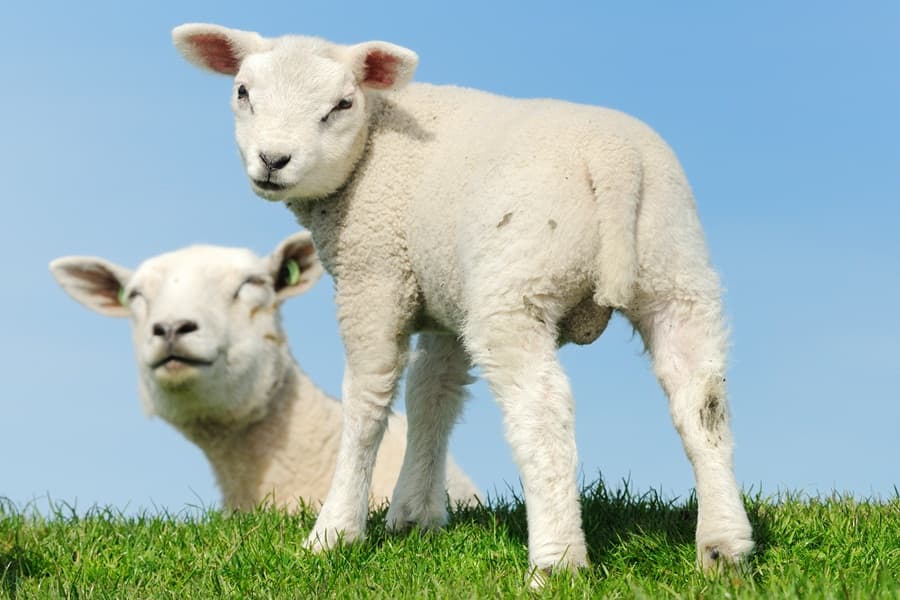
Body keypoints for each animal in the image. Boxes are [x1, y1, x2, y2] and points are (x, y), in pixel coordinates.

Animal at [172, 23, 754, 579]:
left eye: (342, 104)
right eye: (243, 92)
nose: (274, 160)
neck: (374, 143)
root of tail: (614, 160)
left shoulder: (374, 275)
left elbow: (367, 401)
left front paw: (334, 533)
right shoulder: (443, 297)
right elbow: (432, 395)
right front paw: (415, 517)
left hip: (516, 286)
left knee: (542, 414)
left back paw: (556, 563)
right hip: (675, 271)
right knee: (702, 401)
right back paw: (724, 547)